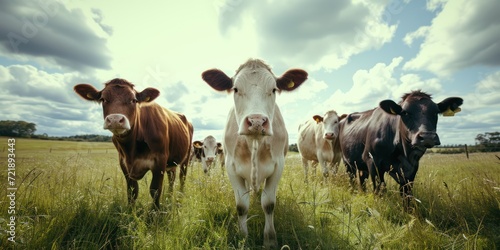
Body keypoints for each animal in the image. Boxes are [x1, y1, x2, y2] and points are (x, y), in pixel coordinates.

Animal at [73, 78, 192, 207]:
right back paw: (169, 198)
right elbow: (132, 191)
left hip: (186, 158)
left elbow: (155, 190)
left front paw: (155, 211)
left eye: (133, 100)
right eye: (103, 99)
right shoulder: (124, 163)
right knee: (171, 179)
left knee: (182, 178)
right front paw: (131, 210)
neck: (131, 149)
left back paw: (179, 198)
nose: (115, 120)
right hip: (172, 163)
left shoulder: (160, 160)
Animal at [201, 58, 306, 248]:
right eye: (235, 89)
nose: (256, 121)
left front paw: (270, 239)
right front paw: (243, 237)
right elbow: (242, 206)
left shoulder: (278, 166)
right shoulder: (231, 167)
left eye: (274, 89)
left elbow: (269, 204)